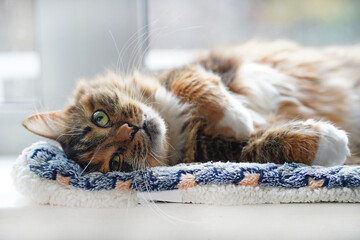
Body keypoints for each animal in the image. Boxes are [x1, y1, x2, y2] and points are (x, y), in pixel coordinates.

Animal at [23, 40, 360, 173]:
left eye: (100, 118)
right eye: (116, 162)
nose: (131, 131)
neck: (175, 124)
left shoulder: (201, 68)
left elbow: (193, 84)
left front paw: (236, 116)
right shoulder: (219, 151)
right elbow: (261, 143)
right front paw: (331, 143)